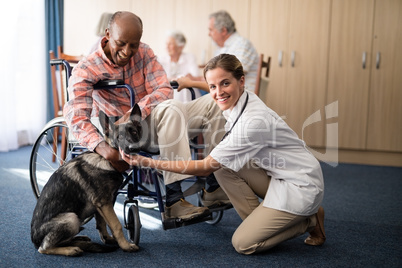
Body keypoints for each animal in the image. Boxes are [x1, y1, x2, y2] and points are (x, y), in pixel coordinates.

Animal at [32, 104, 144, 255]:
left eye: (134, 132)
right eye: (119, 137)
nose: (132, 149)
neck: (105, 160)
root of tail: (34, 241)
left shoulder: (103, 204)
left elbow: (102, 224)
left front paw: (108, 239)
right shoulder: (104, 203)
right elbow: (116, 225)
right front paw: (126, 245)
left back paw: (79, 240)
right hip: (71, 218)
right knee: (44, 248)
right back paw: (70, 249)